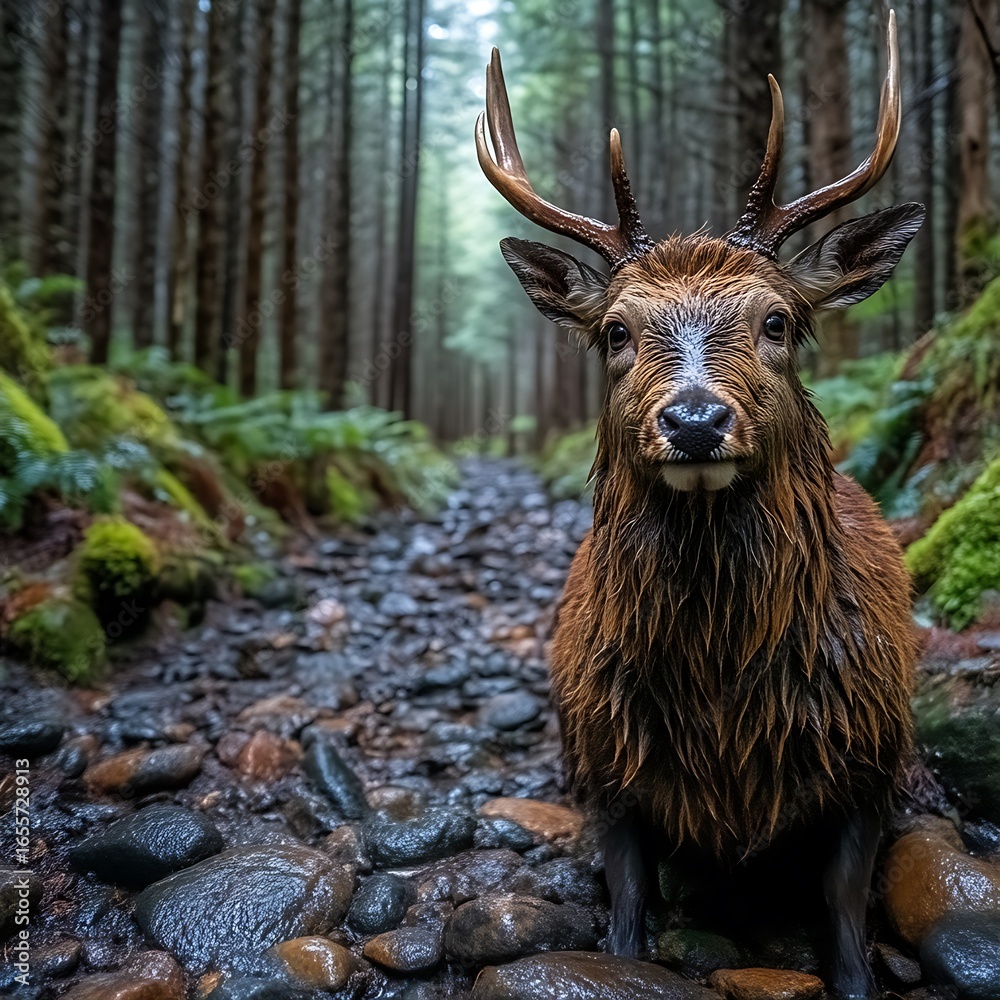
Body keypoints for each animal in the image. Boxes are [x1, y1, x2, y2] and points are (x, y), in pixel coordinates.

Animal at [476, 12, 920, 1000]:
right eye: (615, 330)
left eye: (777, 320)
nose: (693, 420)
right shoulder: (598, 756)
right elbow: (627, 917)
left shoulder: (873, 754)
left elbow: (844, 916)